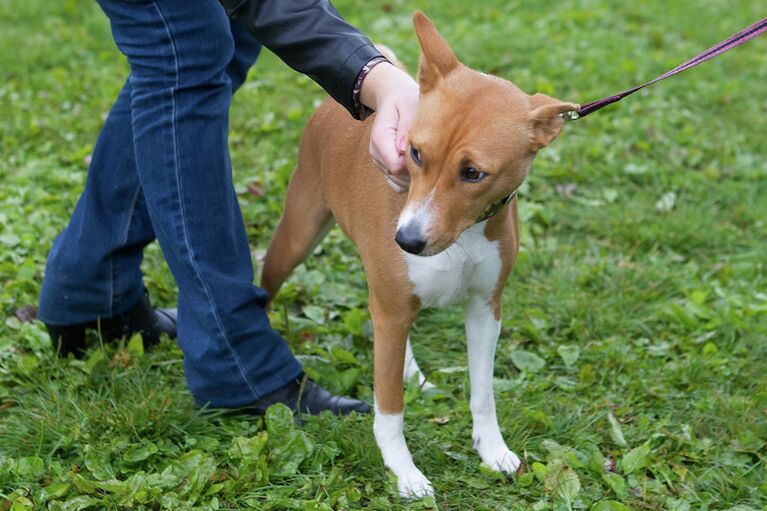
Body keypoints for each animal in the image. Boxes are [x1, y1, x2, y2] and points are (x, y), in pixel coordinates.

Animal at [260, 13, 580, 500]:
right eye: (414, 152)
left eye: (474, 173)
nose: (406, 241)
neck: (465, 233)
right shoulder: (392, 308)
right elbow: (389, 408)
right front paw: (403, 471)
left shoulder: (485, 307)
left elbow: (483, 392)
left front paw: (492, 449)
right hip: (298, 234)